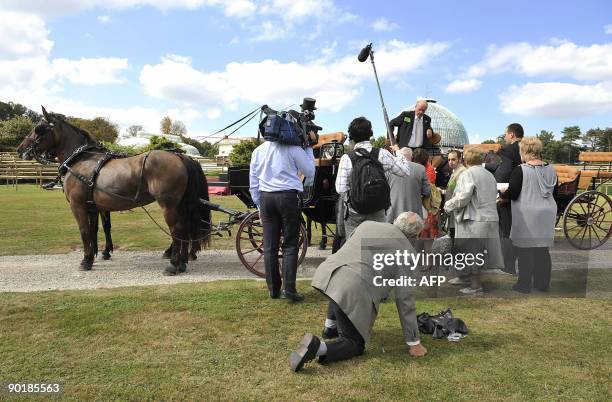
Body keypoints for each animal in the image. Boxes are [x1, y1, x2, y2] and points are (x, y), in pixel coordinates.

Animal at [16, 107, 210, 274]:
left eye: (38, 129)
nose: (20, 149)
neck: (81, 160)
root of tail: (180, 156)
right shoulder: (94, 206)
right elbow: (95, 229)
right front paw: (96, 255)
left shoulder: (78, 205)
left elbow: (84, 231)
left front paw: (86, 261)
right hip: (180, 205)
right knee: (185, 229)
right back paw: (182, 262)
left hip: (168, 205)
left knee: (177, 230)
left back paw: (173, 265)